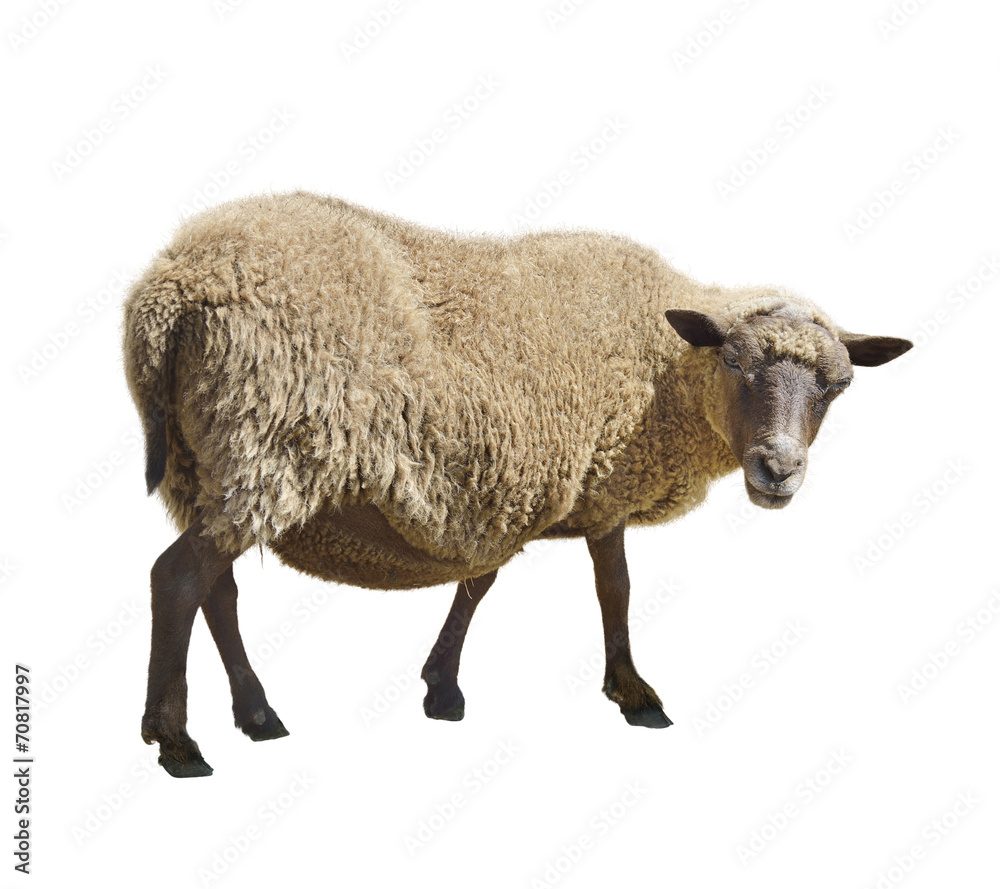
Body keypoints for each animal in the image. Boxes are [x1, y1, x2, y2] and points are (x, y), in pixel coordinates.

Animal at [123, 191, 912, 777]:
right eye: (735, 366)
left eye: (837, 387)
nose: (779, 469)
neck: (665, 364)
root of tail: (169, 291)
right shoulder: (601, 489)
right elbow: (614, 588)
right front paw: (634, 693)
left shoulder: (524, 488)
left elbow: (481, 581)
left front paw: (442, 686)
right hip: (265, 443)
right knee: (178, 579)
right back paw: (177, 741)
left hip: (211, 464)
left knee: (217, 589)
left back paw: (256, 714)